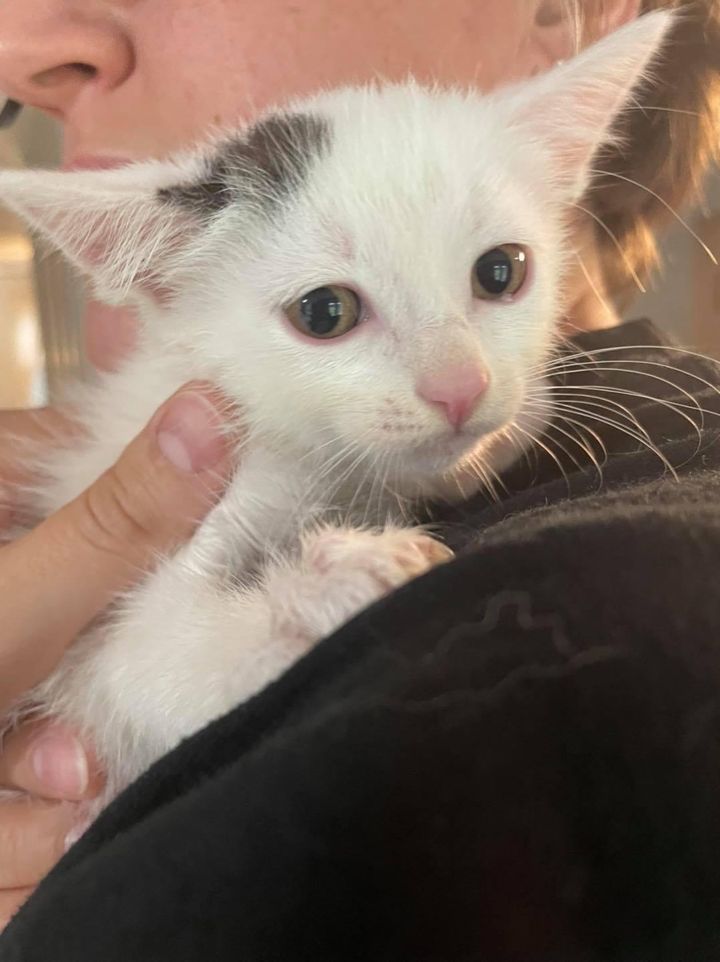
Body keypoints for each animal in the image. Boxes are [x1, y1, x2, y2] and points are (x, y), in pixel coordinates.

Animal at [0, 13, 668, 824]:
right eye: (325, 313)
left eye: (501, 272)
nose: (460, 387)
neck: (318, 464)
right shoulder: (103, 641)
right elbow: (146, 663)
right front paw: (338, 583)